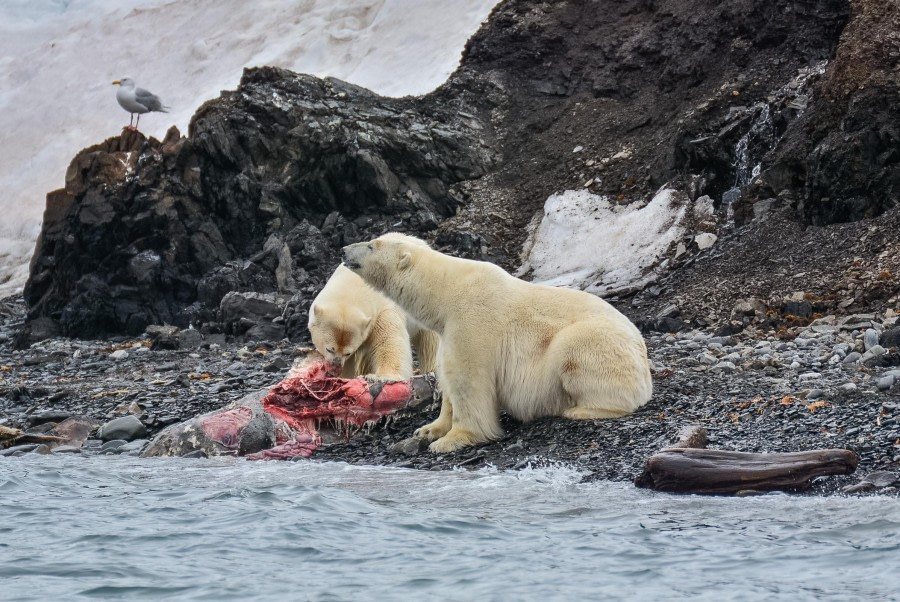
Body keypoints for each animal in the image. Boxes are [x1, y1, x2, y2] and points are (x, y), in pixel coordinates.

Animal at [306, 262, 440, 380]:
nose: (336, 366)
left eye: (348, 353)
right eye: (329, 349)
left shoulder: (383, 312)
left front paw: (382, 377)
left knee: (431, 343)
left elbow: (389, 342)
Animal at [342, 232, 652, 452]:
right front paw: (429, 429)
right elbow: (448, 378)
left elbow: (469, 380)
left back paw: (580, 409)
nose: (344, 250)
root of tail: (643, 354)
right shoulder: (448, 330)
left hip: (597, 343)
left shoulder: (473, 323)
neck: (447, 294)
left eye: (371, 245)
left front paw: (453, 439)